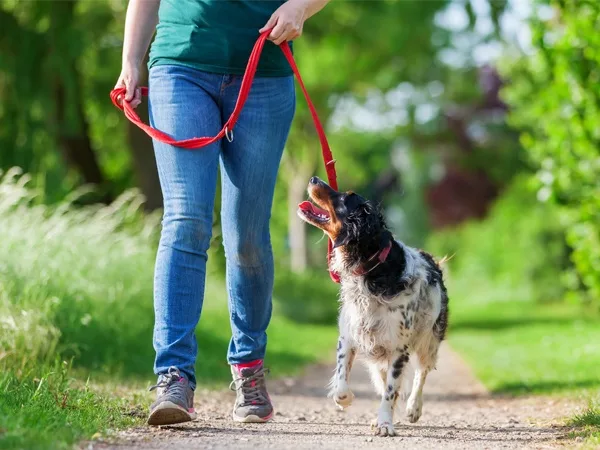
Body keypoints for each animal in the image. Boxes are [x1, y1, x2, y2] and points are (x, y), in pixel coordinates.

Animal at [298, 176, 448, 436]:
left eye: (344, 197)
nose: (314, 178)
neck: (371, 270)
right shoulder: (349, 336)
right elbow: (342, 382)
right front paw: (345, 401)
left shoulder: (399, 348)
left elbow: (391, 392)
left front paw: (385, 424)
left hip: (429, 340)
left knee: (421, 373)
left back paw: (413, 408)